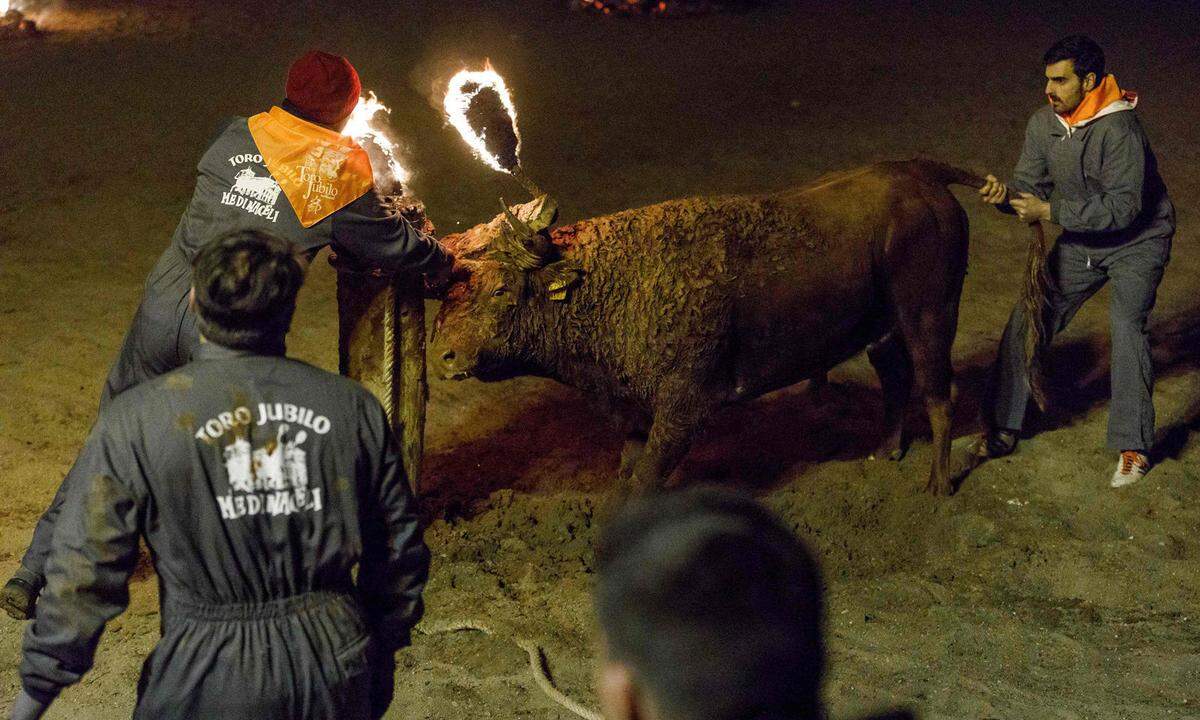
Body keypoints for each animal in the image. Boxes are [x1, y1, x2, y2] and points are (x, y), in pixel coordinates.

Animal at [432, 158, 984, 494]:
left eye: (500, 290)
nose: (443, 356)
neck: (610, 281)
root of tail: (918, 173)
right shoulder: (634, 408)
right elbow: (628, 473)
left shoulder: (685, 409)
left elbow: (644, 480)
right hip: (883, 327)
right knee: (896, 378)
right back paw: (886, 451)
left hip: (930, 315)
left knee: (940, 393)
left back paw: (938, 483)